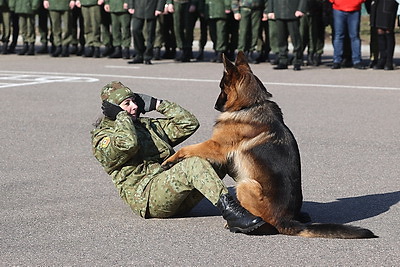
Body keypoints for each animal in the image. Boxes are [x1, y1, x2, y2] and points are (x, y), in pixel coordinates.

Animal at [162, 51, 376, 239]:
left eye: (222, 87)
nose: (215, 106)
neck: (252, 104)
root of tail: (285, 221)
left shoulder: (216, 146)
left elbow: (188, 148)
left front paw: (169, 160)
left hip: (245, 184)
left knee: (265, 223)